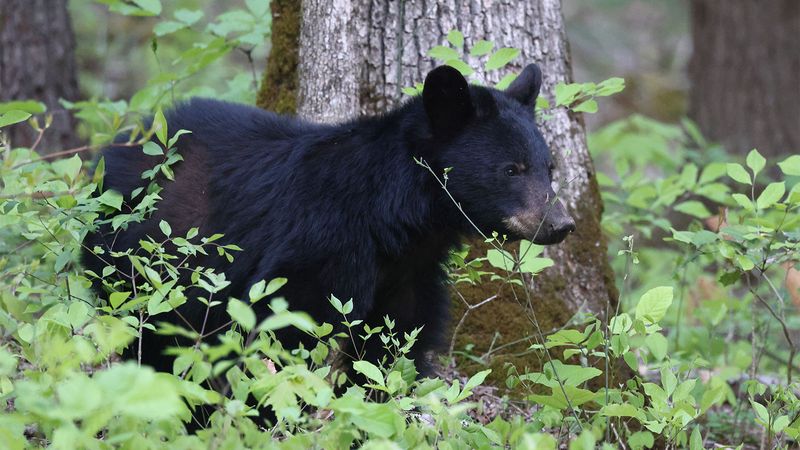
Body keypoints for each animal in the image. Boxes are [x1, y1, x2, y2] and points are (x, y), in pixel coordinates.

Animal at [84, 65, 576, 380]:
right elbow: (287, 327)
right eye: (510, 169)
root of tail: (126, 139)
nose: (562, 224)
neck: (396, 221)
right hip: (134, 253)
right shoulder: (321, 242)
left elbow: (396, 345)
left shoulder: (409, 273)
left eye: (548, 167)